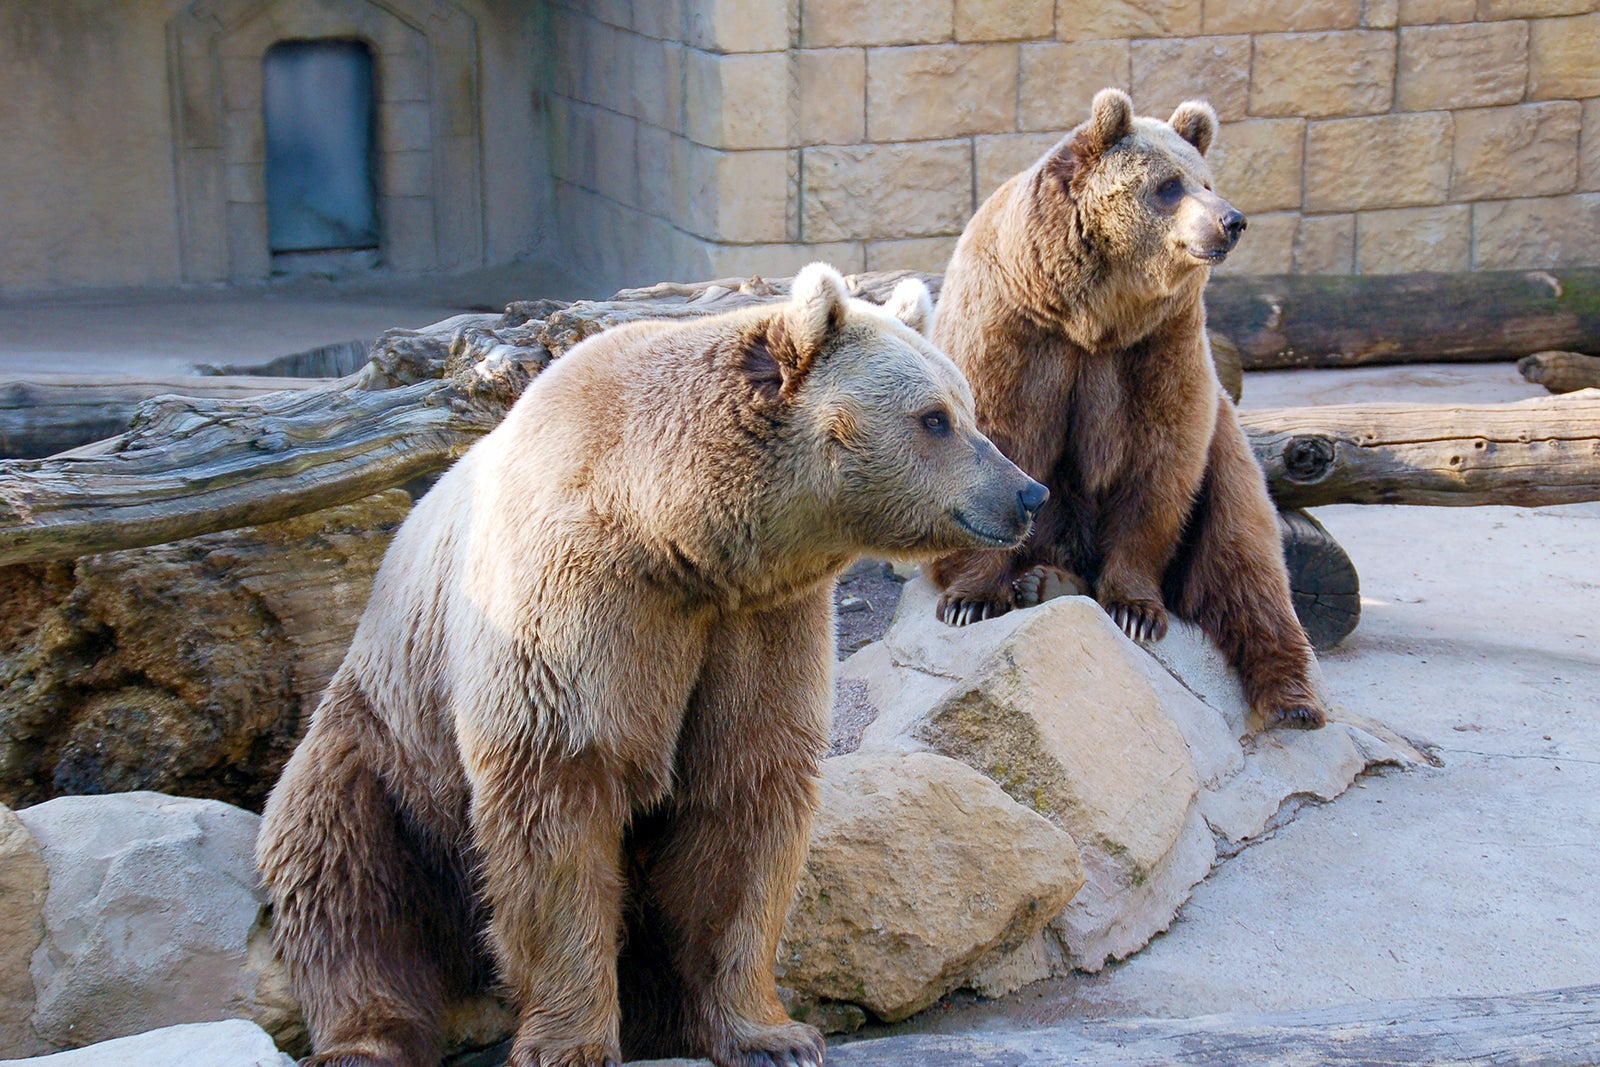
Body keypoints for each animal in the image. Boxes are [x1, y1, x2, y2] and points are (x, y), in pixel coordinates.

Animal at [256, 265, 1043, 1067]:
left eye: (966, 406)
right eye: (935, 418)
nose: (1027, 492)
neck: (675, 532)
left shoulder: (757, 623)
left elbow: (744, 796)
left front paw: (773, 1035)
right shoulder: (580, 599)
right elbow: (560, 793)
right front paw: (570, 1044)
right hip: (383, 748)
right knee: (342, 877)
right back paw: (363, 1039)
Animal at [928, 89, 1324, 735]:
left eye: (1206, 180)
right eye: (1169, 186)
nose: (1232, 220)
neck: (1093, 313)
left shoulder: (1162, 343)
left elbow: (1157, 463)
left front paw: (1135, 610)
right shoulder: (1012, 327)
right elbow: (995, 440)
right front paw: (970, 598)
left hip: (1228, 453)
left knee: (1247, 555)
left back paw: (1294, 699)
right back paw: (1043, 579)